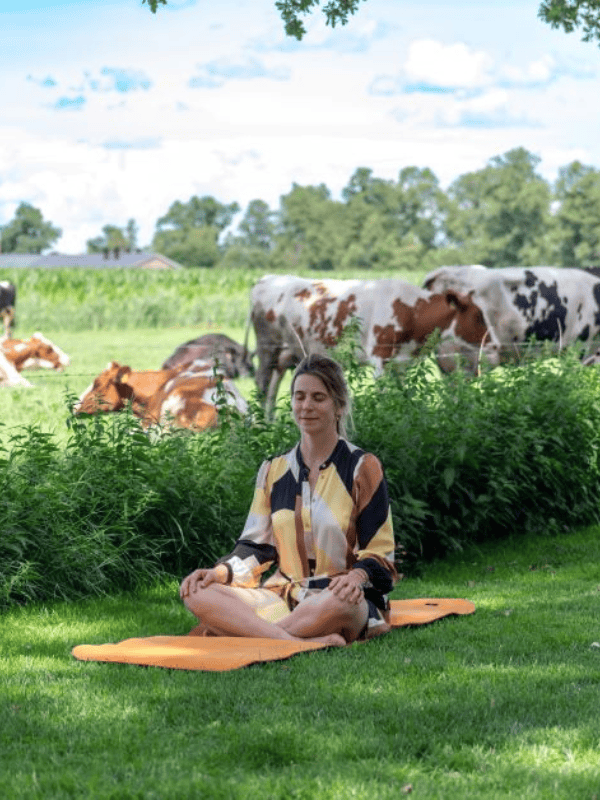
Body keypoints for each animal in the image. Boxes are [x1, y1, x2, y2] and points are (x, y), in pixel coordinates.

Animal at [250, 274, 496, 410]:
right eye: (478, 316)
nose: (494, 345)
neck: (412, 311)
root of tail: (268, 279)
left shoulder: (401, 364)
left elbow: (403, 396)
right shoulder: (380, 358)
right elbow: (383, 397)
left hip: (285, 356)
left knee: (273, 390)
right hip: (267, 348)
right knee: (262, 385)